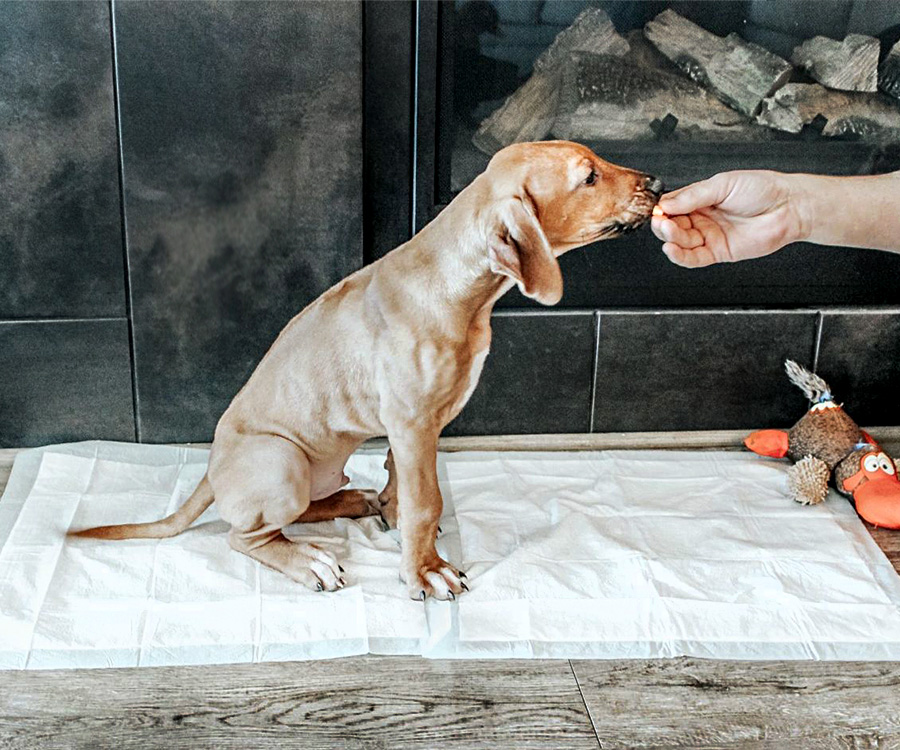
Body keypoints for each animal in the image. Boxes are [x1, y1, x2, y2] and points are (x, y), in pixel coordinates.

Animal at [72, 140, 660, 600]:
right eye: (588, 176)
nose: (656, 182)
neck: (462, 290)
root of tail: (212, 472)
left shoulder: (417, 428)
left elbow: (405, 485)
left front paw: (396, 522)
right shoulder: (412, 423)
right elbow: (426, 500)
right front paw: (425, 572)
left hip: (320, 467)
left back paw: (349, 501)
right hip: (282, 462)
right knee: (245, 536)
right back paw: (306, 558)